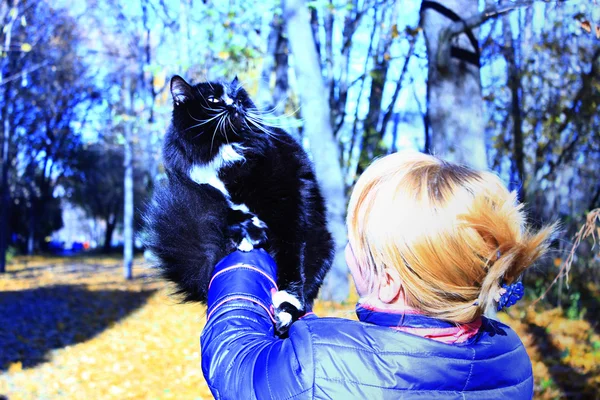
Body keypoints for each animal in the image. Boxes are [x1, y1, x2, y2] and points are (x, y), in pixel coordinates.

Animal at [144, 76, 336, 332]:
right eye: (214, 99)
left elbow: (292, 259)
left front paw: (286, 306)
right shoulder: (199, 190)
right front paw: (249, 231)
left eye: (240, 98)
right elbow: (227, 210)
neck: (221, 150)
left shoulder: (289, 209)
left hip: (319, 238)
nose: (235, 105)